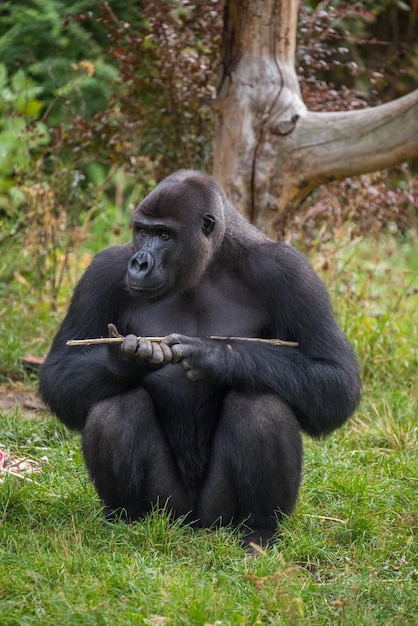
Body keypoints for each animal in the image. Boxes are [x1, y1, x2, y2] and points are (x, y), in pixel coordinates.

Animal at [38, 168, 360, 544]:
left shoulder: (289, 271)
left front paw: (216, 357)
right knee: (115, 405)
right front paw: (127, 361)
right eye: (142, 231)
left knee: (260, 405)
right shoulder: (104, 270)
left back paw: (259, 529)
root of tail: (192, 523)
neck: (212, 263)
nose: (139, 262)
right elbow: (59, 372)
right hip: (167, 509)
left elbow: (336, 380)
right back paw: (127, 519)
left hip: (217, 515)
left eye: (164, 235)